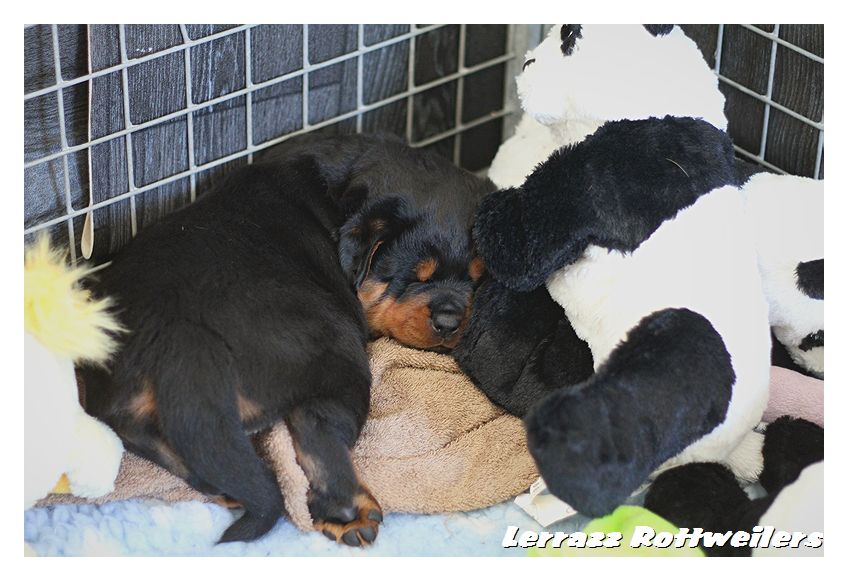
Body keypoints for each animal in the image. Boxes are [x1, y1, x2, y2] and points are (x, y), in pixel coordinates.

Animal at [78, 133, 493, 546]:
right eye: (414, 278)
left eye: (477, 279)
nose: (449, 320)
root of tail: (182, 338)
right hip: (336, 348)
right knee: (318, 428)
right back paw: (347, 512)